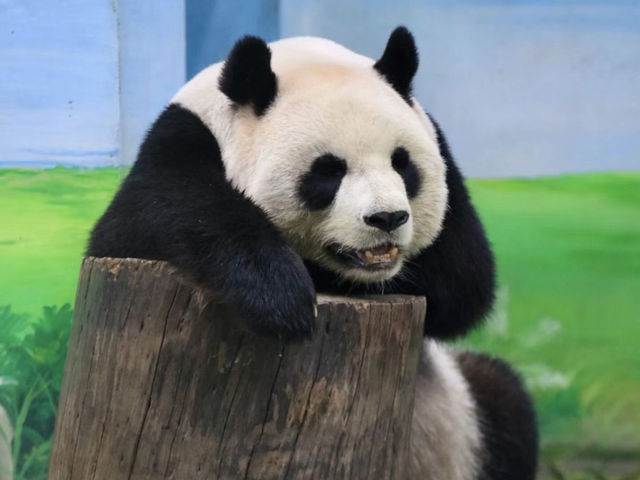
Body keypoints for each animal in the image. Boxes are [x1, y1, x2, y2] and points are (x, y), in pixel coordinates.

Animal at [90, 27, 536, 480]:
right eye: (328, 171)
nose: (387, 217)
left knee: (505, 398)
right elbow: (152, 218)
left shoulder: (438, 146)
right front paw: (278, 296)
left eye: (402, 163)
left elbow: (462, 279)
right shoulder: (180, 142)